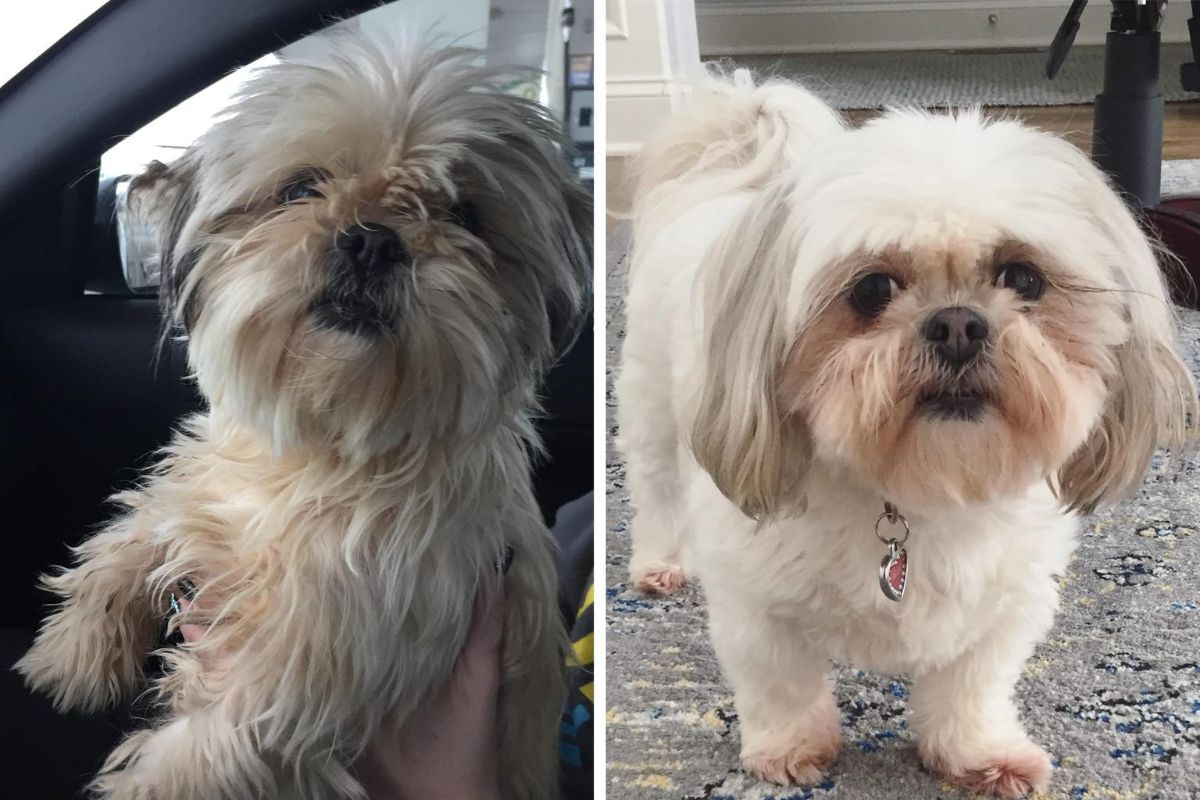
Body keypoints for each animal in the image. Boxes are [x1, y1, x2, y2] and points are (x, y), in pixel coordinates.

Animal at [18, 34, 590, 796]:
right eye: (300, 188)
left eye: (463, 214)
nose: (372, 238)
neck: (327, 442)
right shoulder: (202, 494)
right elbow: (135, 532)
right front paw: (73, 649)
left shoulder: (302, 670)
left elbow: (201, 749)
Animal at [624, 71, 1195, 796]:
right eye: (871, 289)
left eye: (1022, 276)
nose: (957, 324)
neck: (923, 488)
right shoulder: (755, 603)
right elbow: (781, 682)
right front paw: (790, 751)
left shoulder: (1005, 604)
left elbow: (970, 689)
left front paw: (978, 754)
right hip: (650, 407)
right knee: (656, 488)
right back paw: (660, 563)